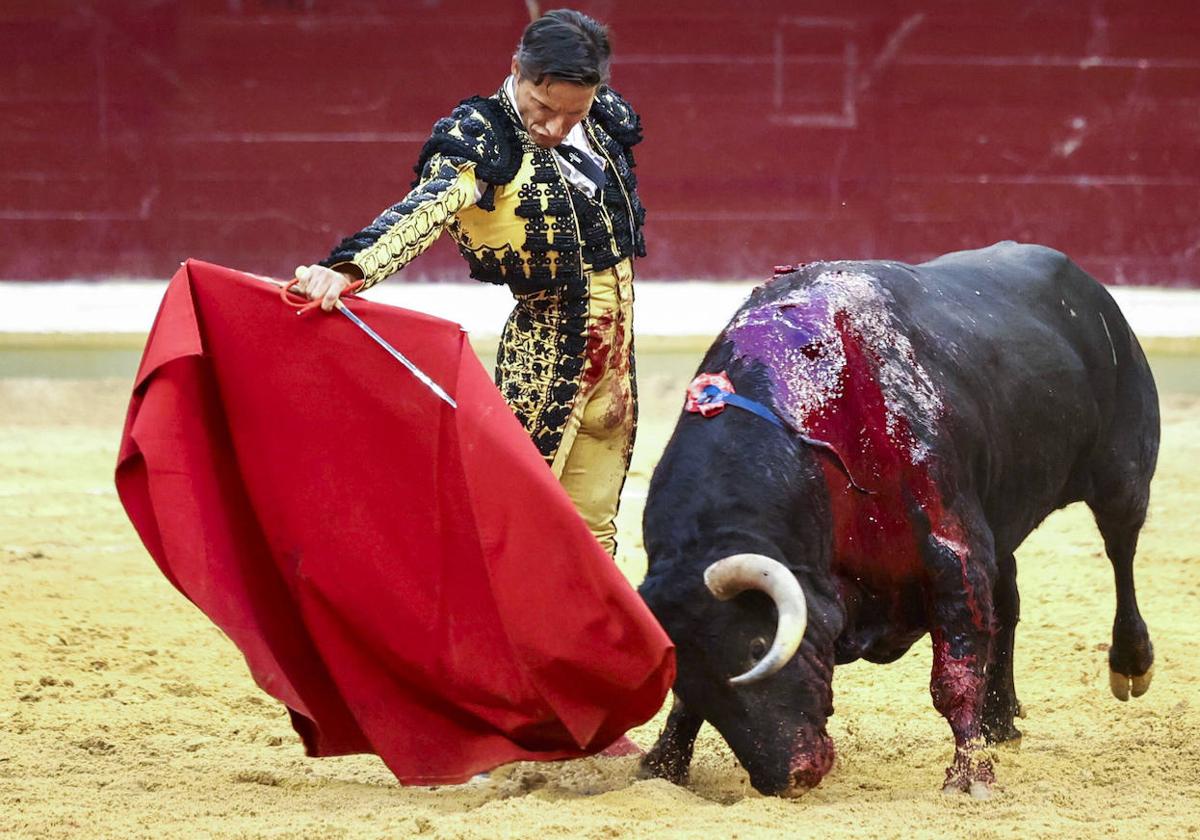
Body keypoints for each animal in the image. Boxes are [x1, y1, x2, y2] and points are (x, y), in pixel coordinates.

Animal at [638, 240, 1152, 796]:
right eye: (688, 673)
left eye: (758, 647)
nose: (788, 778)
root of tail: (1093, 292)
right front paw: (663, 764)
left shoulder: (954, 555)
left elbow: (953, 679)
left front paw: (969, 777)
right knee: (1008, 602)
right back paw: (1000, 722)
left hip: (1123, 472)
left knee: (1121, 550)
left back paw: (1130, 663)